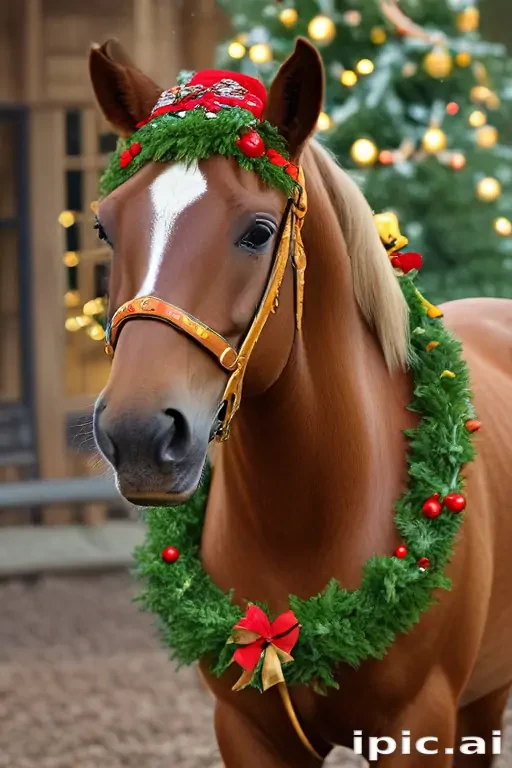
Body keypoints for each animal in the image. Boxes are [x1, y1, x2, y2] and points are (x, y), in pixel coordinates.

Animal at [90, 38, 512, 766]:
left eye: (258, 231)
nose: (140, 435)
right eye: (105, 229)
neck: (313, 518)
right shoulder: (248, 732)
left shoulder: (417, 725)